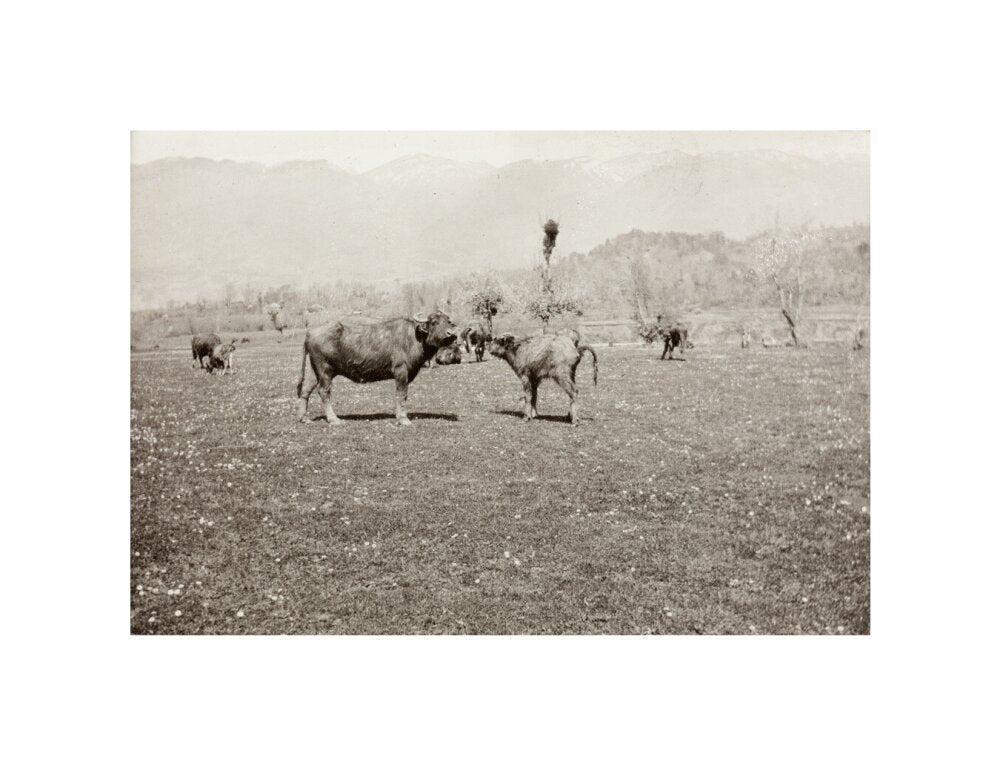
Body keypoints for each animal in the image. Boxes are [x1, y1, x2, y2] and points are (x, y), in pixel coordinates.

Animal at [296, 311, 458, 426]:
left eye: (448, 322)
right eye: (434, 322)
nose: (452, 334)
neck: (414, 337)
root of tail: (310, 333)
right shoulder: (401, 371)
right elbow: (402, 394)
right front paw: (403, 419)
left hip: (314, 370)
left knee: (305, 390)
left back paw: (304, 418)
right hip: (325, 370)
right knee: (324, 391)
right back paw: (334, 419)